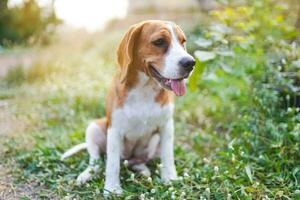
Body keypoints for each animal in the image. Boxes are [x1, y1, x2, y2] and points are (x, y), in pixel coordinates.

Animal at [61, 19, 195, 195]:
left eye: (182, 42)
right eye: (159, 42)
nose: (190, 63)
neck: (144, 88)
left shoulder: (167, 126)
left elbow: (168, 156)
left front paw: (170, 178)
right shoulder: (115, 130)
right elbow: (112, 164)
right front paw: (112, 189)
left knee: (137, 161)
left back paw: (143, 170)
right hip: (94, 127)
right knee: (96, 161)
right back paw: (86, 174)